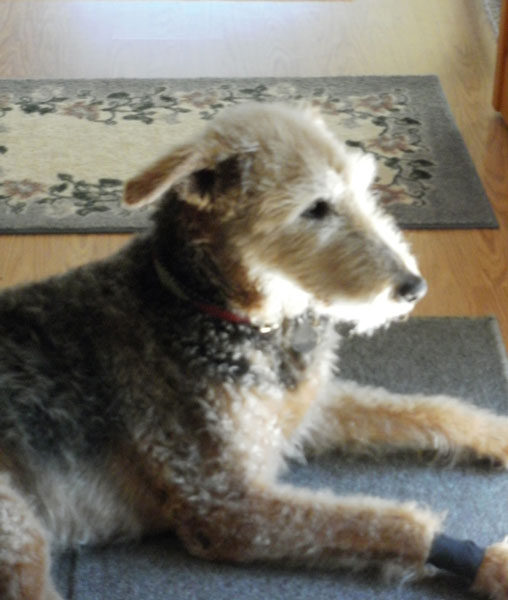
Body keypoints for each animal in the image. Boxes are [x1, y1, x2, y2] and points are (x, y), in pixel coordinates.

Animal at [0, 102, 507, 600]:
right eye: (316, 208)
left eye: (364, 186)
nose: (414, 287)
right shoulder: (226, 506)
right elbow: (391, 522)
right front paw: (490, 564)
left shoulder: (301, 412)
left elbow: (432, 410)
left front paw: (497, 435)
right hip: (20, 535)